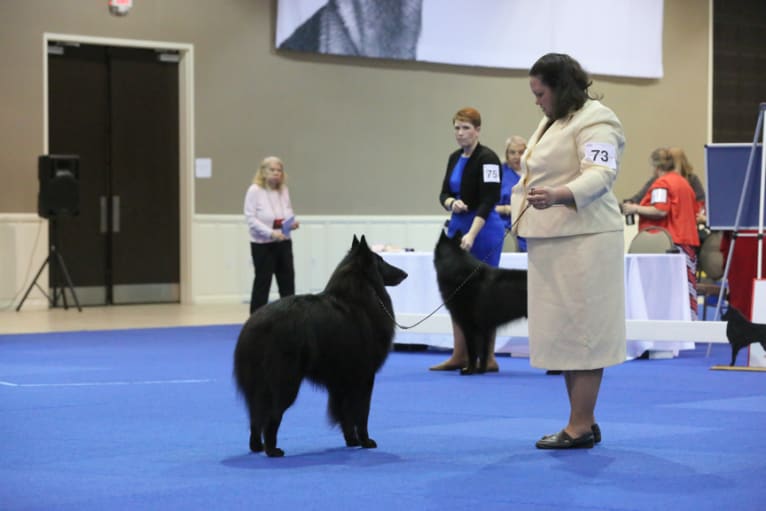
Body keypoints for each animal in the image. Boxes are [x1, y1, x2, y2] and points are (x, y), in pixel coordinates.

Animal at [232, 234, 408, 458]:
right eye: (381, 261)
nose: (405, 273)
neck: (358, 295)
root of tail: (254, 325)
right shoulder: (365, 376)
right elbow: (361, 413)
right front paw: (365, 441)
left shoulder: (342, 381)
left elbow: (345, 414)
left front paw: (351, 440)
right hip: (285, 382)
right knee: (272, 416)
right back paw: (272, 450)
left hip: (260, 385)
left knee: (256, 416)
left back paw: (257, 447)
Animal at [436, 230, 532, 374]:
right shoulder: (485, 328)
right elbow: (484, 352)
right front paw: (481, 370)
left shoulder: (470, 326)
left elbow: (472, 351)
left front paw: (469, 370)